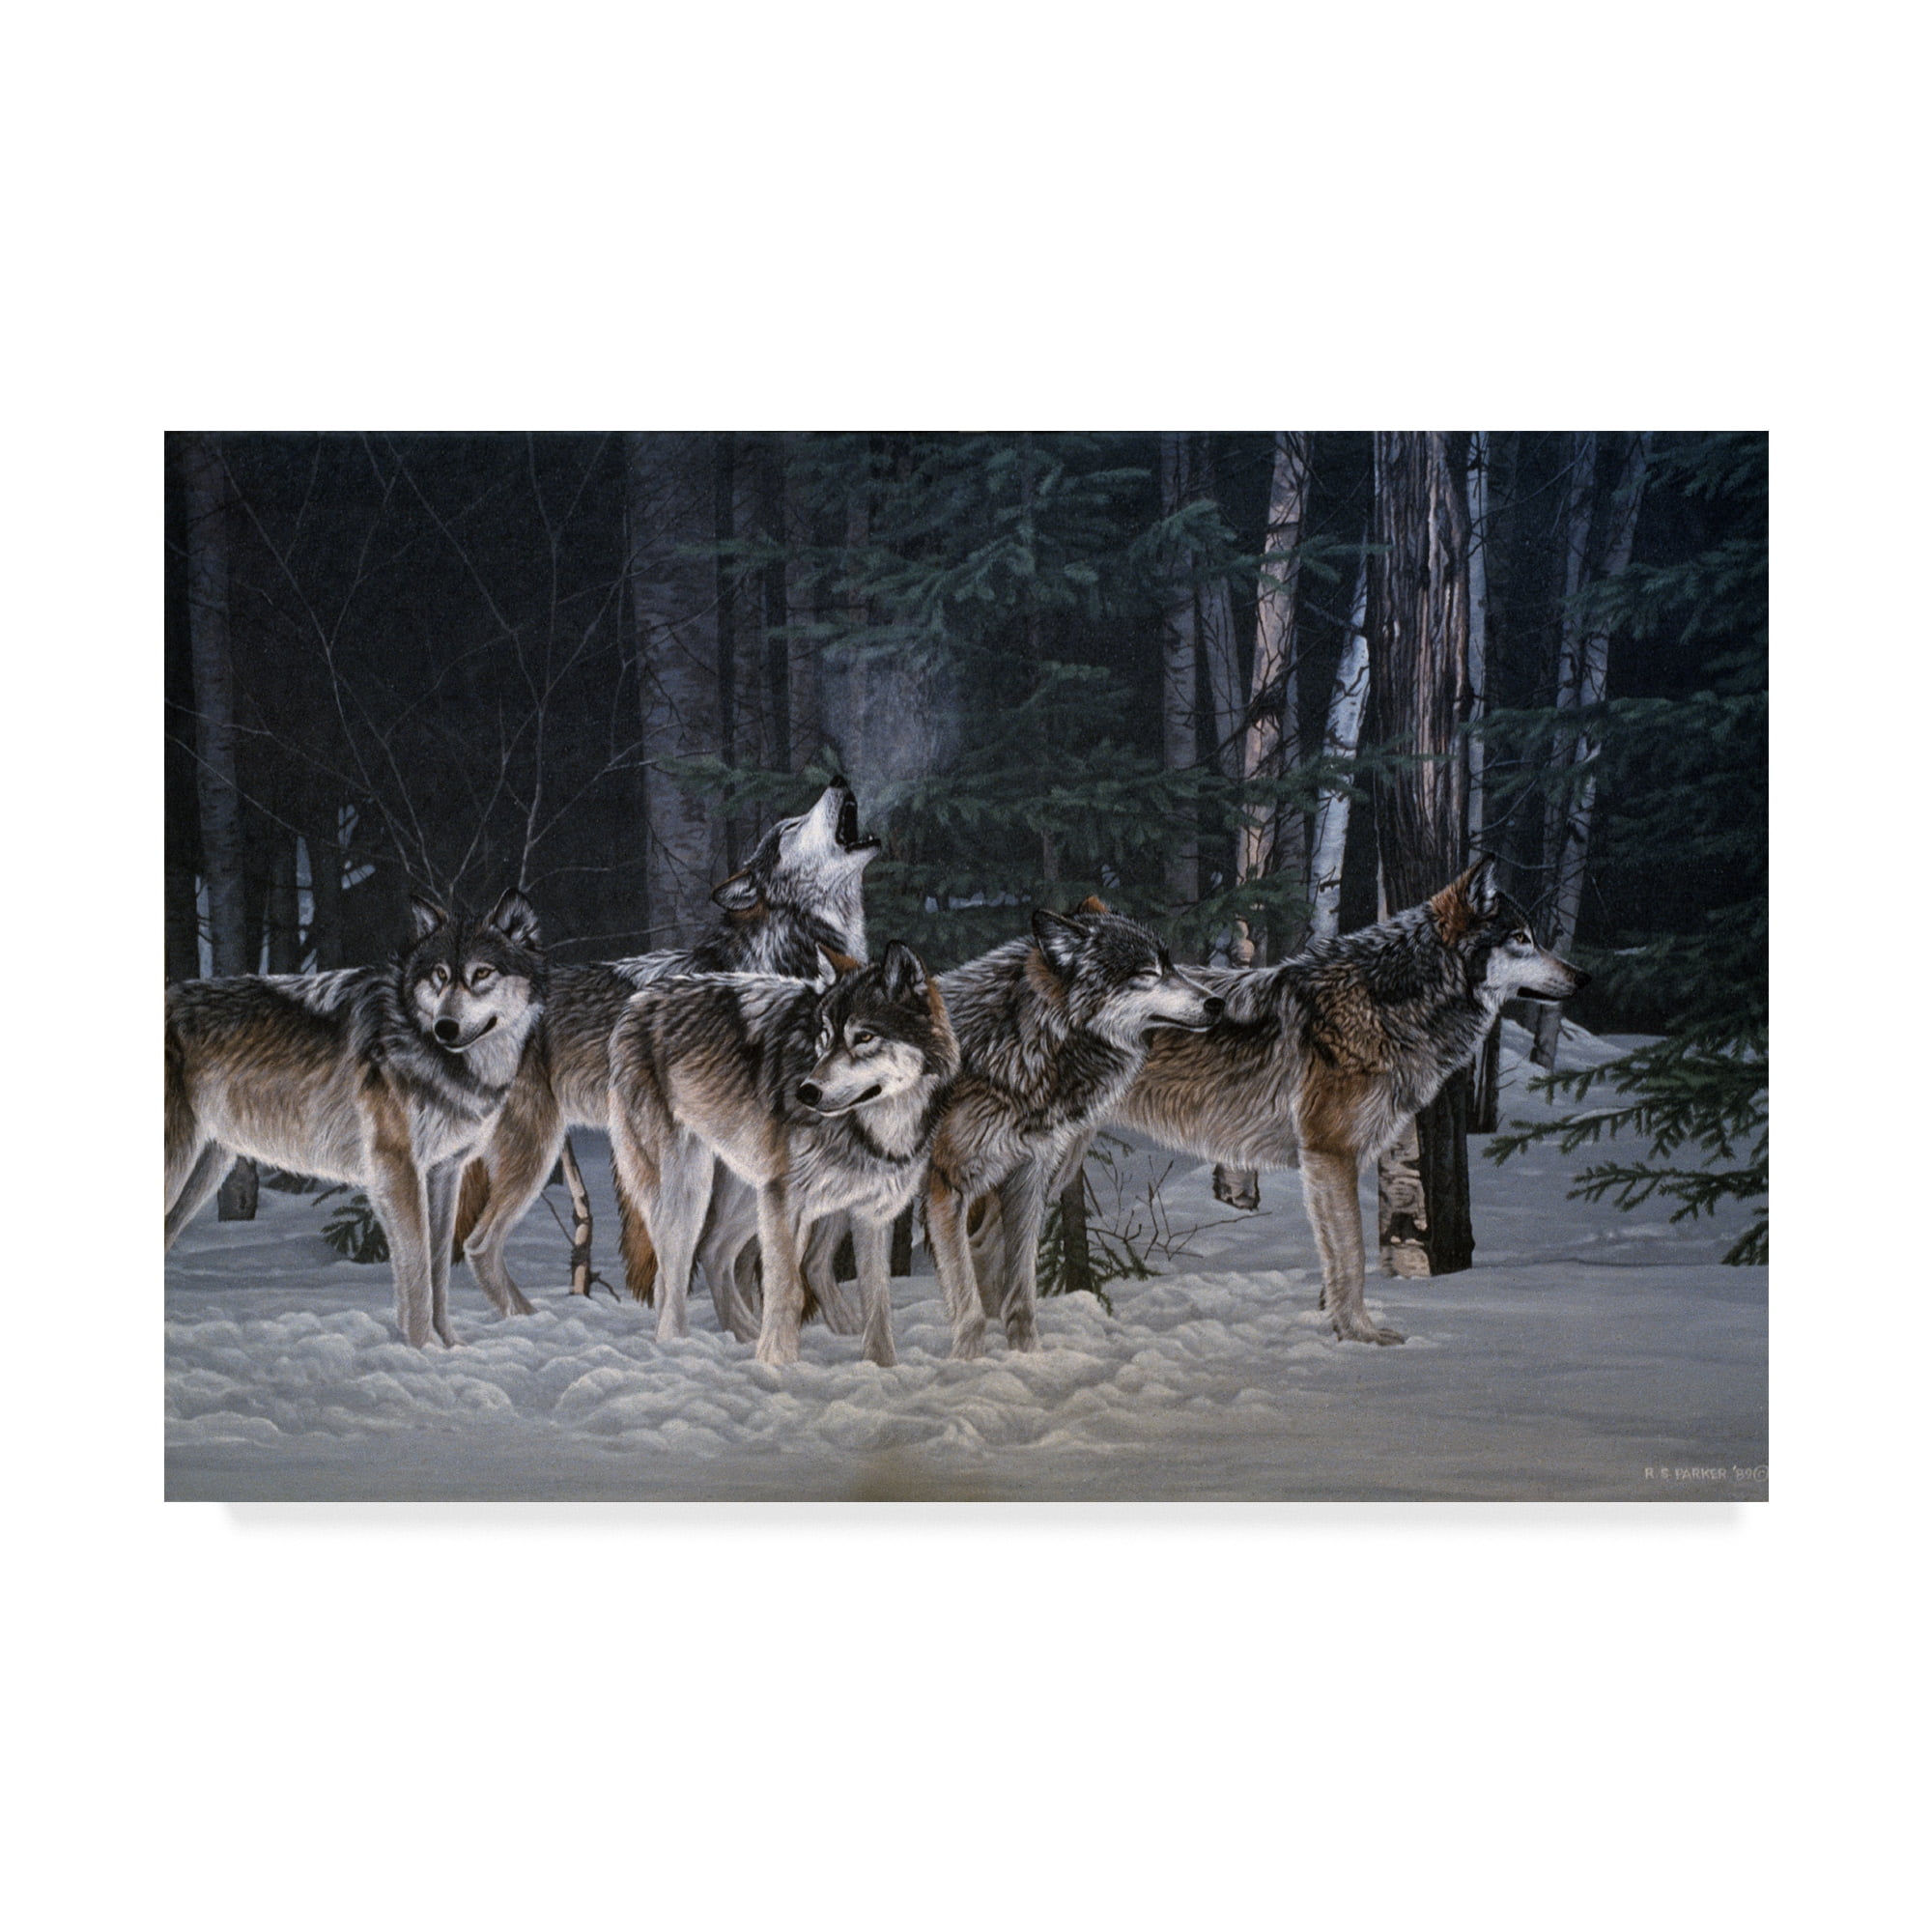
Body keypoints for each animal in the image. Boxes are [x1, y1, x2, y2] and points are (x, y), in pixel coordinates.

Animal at [165, 890, 545, 1348]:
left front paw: (451, 1348)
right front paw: (421, 1352)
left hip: (203, 1171)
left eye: (482, 973)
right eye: (440, 975)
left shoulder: (443, 1171)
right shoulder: (396, 1167)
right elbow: (417, 1270)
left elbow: (438, 1269)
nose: (445, 1028)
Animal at [607, 944, 960, 1367]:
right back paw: (677, 1348)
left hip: (754, 1191)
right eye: (824, 1038)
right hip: (691, 1191)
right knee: (671, 1272)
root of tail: (639, 1001)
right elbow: (786, 1290)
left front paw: (881, 1366)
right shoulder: (787, 1201)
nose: (806, 1092)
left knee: (713, 1252)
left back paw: (742, 1335)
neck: (873, 1131)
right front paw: (778, 1365)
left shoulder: (871, 1212)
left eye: (864, 1037)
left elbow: (877, 1298)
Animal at [928, 906, 1223, 1359]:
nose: (1218, 1002)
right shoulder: (948, 1186)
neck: (1025, 1038)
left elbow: (1021, 1295)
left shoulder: (1028, 1179)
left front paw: (1029, 1359)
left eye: (1171, 965)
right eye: (1147, 972)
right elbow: (969, 1307)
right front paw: (967, 1365)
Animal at [1107, 859, 1589, 1344]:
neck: (1384, 1005)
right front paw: (1363, 1336)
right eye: (1522, 939)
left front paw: (1334, 1327)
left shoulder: (1341, 1159)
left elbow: (1335, 1257)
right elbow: (1354, 1255)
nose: (1584, 977)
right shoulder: (1330, 1151)